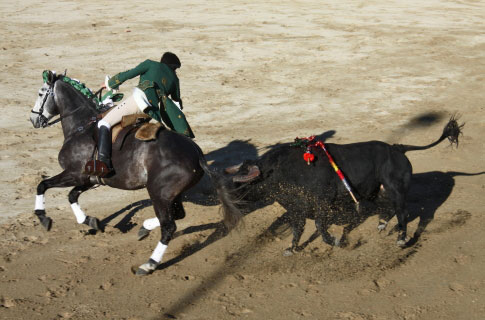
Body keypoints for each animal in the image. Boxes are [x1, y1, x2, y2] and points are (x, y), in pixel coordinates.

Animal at [29, 70, 241, 276]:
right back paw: (144, 229)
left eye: (40, 93)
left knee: (169, 225)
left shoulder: (74, 173)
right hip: (171, 194)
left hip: (158, 193)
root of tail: (196, 152)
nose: (33, 119)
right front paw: (90, 221)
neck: (82, 125)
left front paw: (43, 217)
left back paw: (149, 264)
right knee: (178, 215)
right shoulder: (89, 179)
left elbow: (43, 185)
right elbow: (72, 195)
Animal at [227, 117, 462, 252]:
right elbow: (298, 229)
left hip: (396, 189)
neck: (282, 170)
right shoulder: (297, 208)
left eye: (243, 184)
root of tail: (397, 148)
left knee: (404, 212)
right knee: (388, 209)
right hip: (377, 190)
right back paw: (383, 225)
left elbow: (319, 227)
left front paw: (337, 242)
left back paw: (401, 239)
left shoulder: (321, 203)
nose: (230, 200)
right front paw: (292, 248)